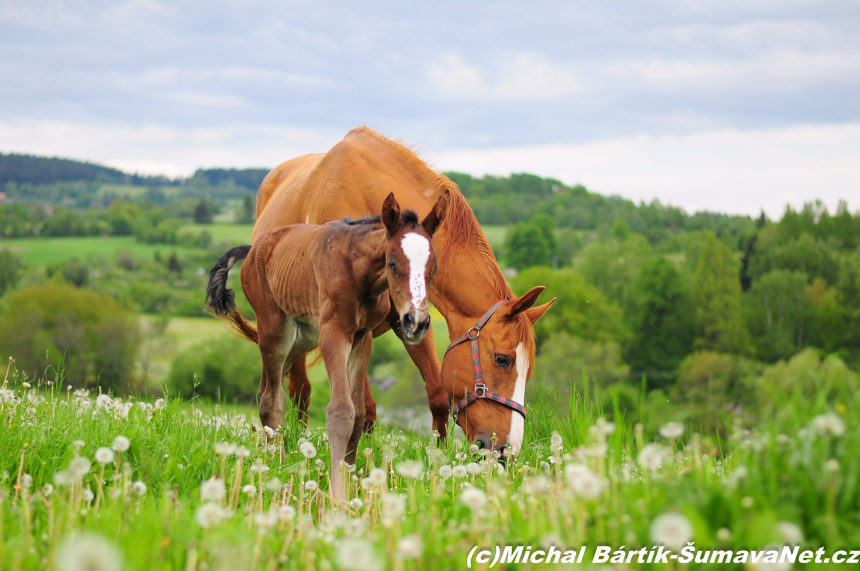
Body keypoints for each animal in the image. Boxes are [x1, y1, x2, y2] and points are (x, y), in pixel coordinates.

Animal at [252, 126, 556, 460]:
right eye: (503, 360)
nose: (507, 451)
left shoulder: (410, 322)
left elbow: (437, 396)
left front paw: (438, 458)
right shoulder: (350, 329)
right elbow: (363, 408)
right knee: (299, 388)